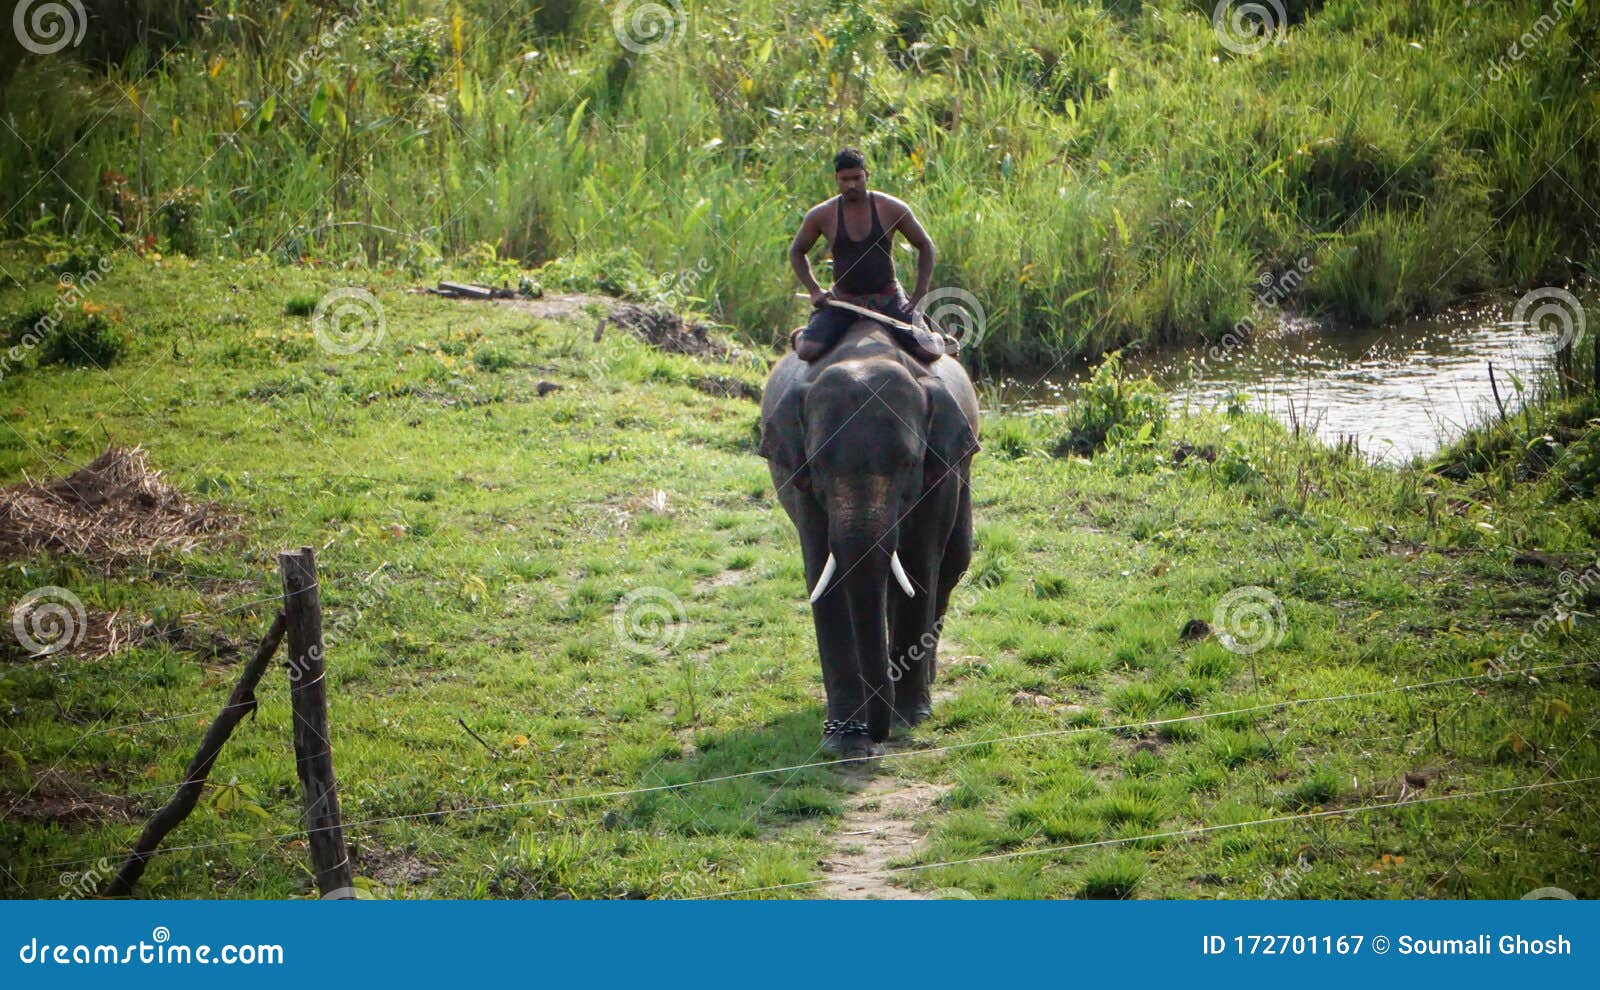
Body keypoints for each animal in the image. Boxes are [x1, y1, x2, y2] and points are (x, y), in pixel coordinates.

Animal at [758, 319, 980, 758]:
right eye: (819, 463)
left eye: (910, 463)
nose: (880, 736)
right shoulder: (798, 477)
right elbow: (823, 572)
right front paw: (844, 739)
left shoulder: (942, 468)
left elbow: (920, 563)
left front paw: (910, 717)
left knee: (953, 562)